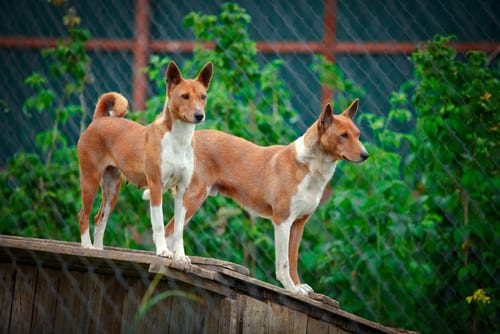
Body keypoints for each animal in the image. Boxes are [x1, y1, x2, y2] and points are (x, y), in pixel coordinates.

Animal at [77, 60, 213, 264]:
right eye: (185, 96)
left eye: (203, 96)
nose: (199, 115)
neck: (178, 140)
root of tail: (99, 120)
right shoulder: (156, 186)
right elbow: (159, 225)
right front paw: (163, 251)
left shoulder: (183, 191)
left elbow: (178, 230)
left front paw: (180, 256)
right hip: (90, 181)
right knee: (83, 216)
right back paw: (86, 247)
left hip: (112, 189)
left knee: (99, 218)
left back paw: (98, 250)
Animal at [163, 100, 368, 294]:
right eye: (343, 135)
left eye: (357, 134)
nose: (365, 155)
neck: (307, 166)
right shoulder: (282, 221)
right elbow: (283, 263)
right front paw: (291, 289)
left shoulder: (298, 224)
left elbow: (293, 261)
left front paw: (299, 286)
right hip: (192, 199)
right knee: (169, 231)